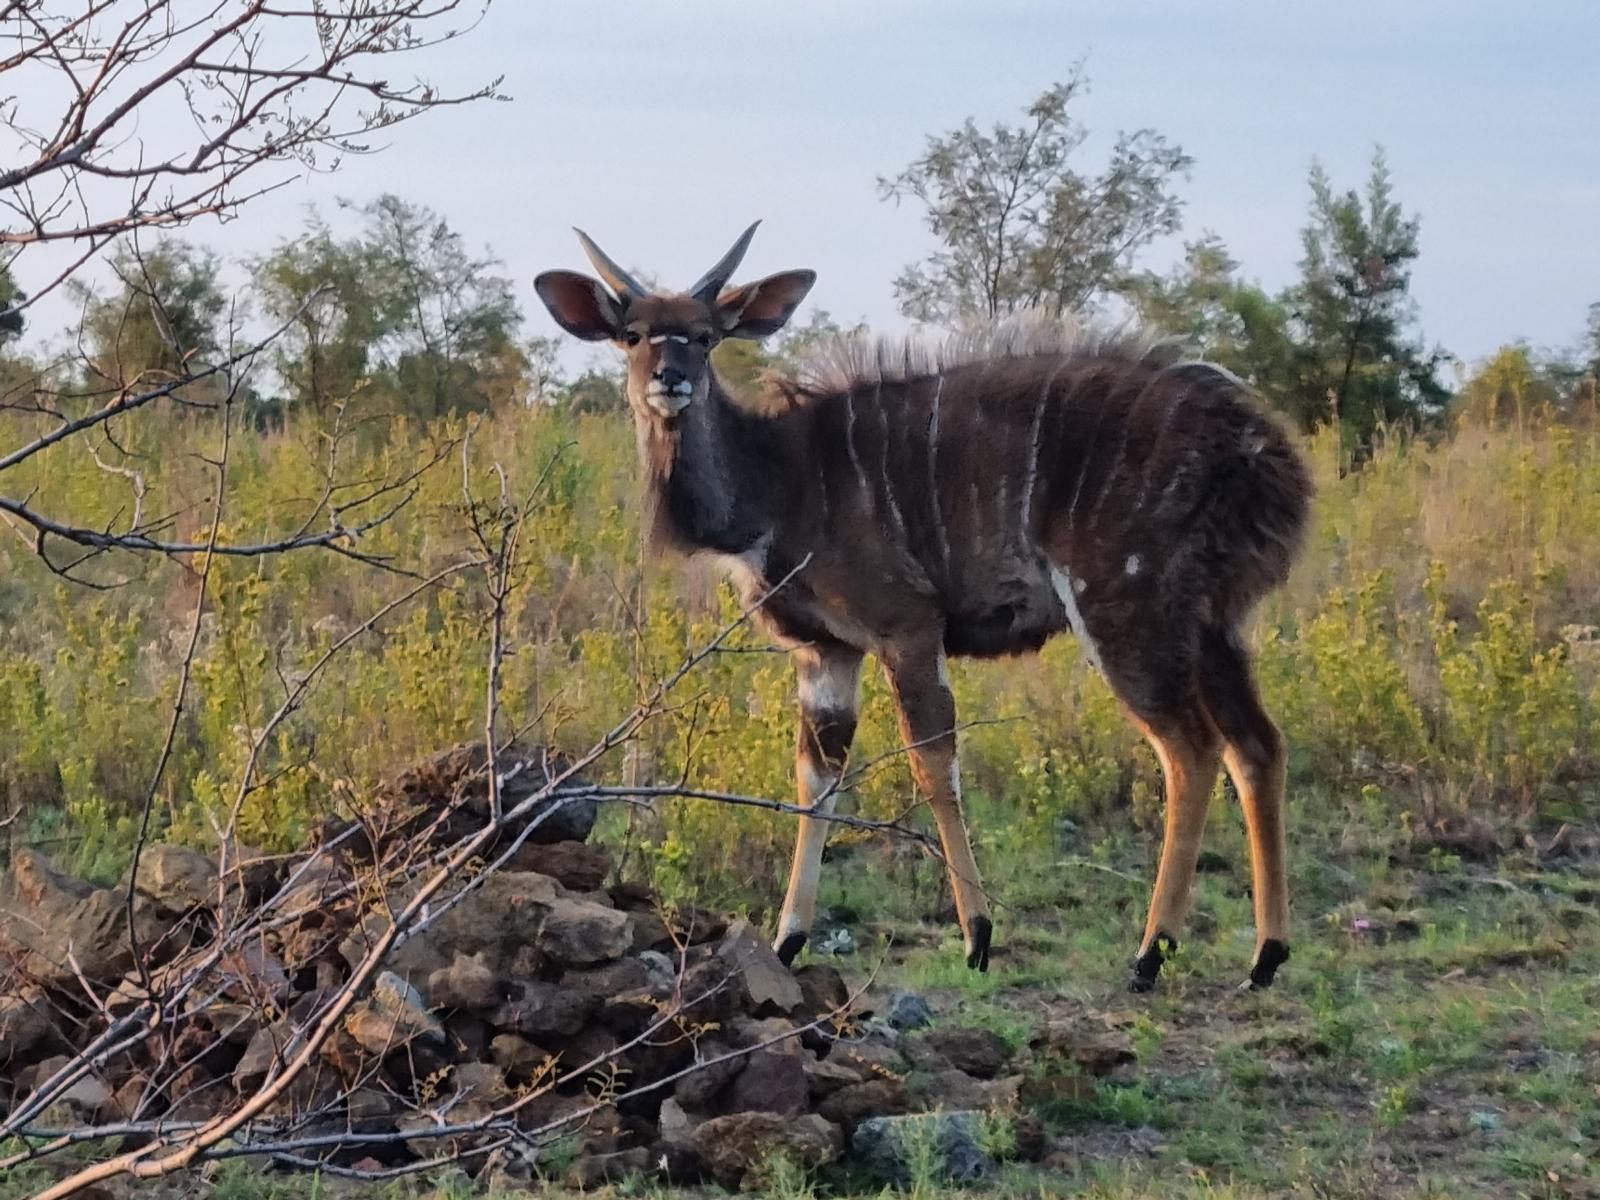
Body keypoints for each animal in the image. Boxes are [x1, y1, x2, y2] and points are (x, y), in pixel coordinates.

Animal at [537, 220, 1312, 992]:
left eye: (704, 336)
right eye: (633, 334)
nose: (669, 380)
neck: (778, 484)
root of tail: (1263, 452)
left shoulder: (905, 628)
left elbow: (933, 762)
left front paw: (978, 935)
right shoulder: (826, 652)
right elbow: (816, 775)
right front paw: (788, 939)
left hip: (1128, 608)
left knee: (1191, 749)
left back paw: (1151, 952)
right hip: (1213, 626)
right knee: (1257, 745)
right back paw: (1266, 955)